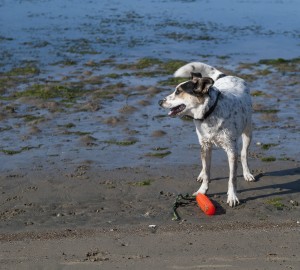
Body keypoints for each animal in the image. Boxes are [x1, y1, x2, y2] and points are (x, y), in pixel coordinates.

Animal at [158, 62, 254, 207]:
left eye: (178, 91)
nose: (160, 102)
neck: (209, 113)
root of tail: (226, 75)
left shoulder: (231, 150)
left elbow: (232, 178)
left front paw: (232, 196)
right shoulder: (205, 145)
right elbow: (207, 171)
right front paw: (202, 191)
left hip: (248, 132)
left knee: (244, 154)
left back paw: (247, 173)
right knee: (204, 165)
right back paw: (201, 174)